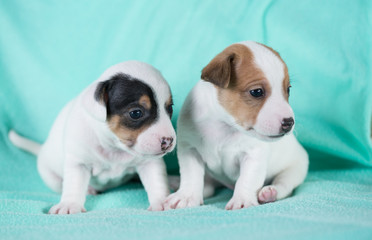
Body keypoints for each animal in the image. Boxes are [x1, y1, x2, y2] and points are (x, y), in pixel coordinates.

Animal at [9, 60, 176, 214]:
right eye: (136, 113)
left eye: (169, 108)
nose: (169, 141)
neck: (114, 147)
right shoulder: (78, 163)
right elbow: (74, 184)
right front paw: (69, 204)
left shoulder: (150, 162)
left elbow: (156, 181)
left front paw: (162, 201)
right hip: (51, 177)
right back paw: (89, 189)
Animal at [165, 41, 308, 210]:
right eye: (257, 92)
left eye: (288, 89)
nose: (289, 122)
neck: (224, 125)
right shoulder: (190, 151)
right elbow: (191, 176)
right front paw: (187, 196)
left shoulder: (253, 155)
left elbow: (247, 179)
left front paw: (242, 199)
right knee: (208, 186)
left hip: (294, 170)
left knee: (284, 185)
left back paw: (270, 192)